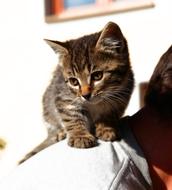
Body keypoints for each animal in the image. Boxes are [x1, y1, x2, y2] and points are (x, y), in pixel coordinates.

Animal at [19, 21, 134, 163]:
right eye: (74, 81)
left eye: (97, 76)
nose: (85, 95)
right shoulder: (64, 97)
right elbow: (71, 116)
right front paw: (80, 135)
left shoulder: (122, 94)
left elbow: (110, 113)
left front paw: (106, 127)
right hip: (48, 104)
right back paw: (59, 133)